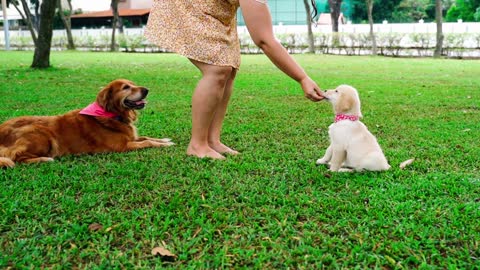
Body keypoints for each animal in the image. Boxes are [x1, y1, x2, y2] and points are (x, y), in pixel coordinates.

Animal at [0, 78, 172, 168]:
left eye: (133, 83)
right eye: (126, 87)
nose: (146, 90)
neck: (113, 115)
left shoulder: (131, 138)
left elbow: (147, 137)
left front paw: (164, 140)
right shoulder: (122, 146)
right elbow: (147, 142)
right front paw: (163, 144)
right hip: (42, 133)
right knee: (17, 157)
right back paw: (43, 159)